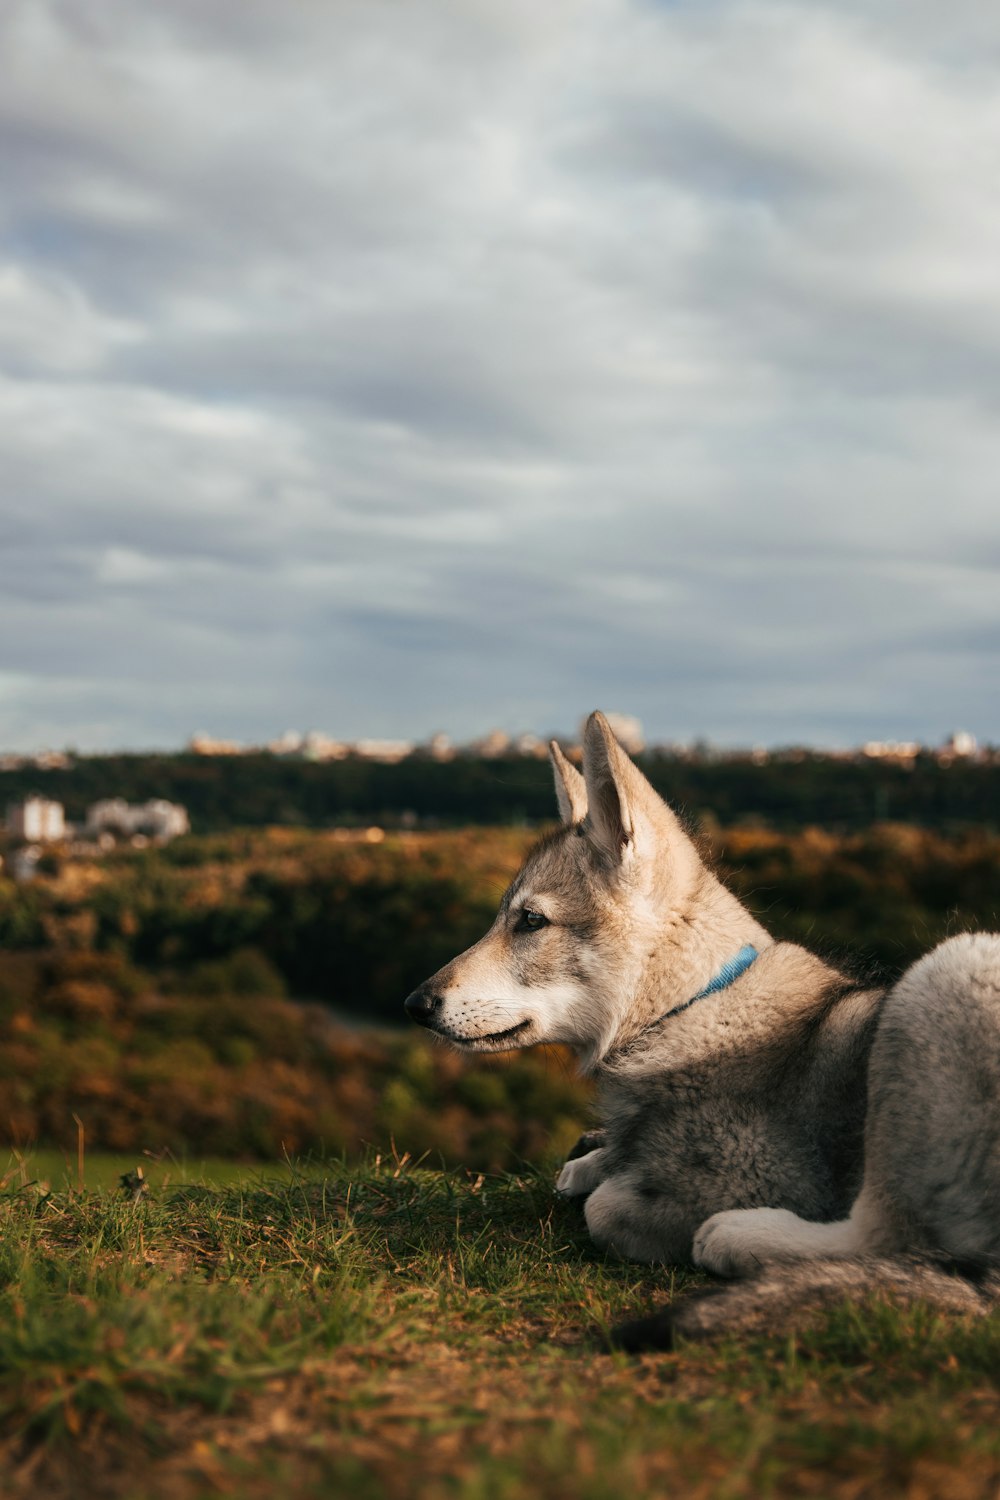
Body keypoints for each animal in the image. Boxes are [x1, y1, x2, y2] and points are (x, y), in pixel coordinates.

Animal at [401, 708, 1000, 1344]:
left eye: (531, 921)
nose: (415, 1004)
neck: (692, 1008)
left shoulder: (764, 1175)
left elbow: (604, 1208)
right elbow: (590, 1168)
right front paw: (595, 1160)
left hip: (947, 970)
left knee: (881, 1238)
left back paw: (738, 1238)